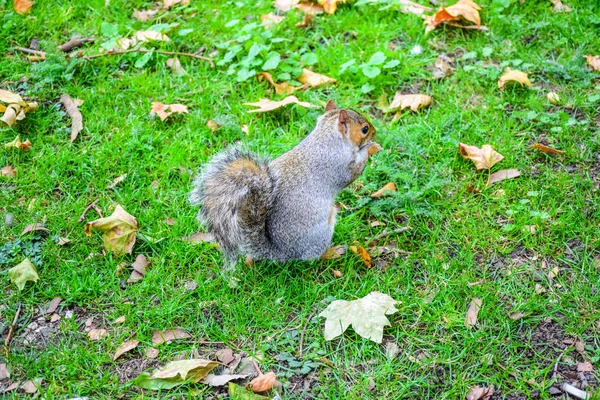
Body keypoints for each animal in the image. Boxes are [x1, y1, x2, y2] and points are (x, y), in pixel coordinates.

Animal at [190, 98, 382, 264]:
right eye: (364, 129)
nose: (375, 132)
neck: (326, 139)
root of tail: (283, 252)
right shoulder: (337, 166)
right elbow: (352, 173)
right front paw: (371, 148)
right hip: (321, 230)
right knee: (312, 257)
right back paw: (333, 252)